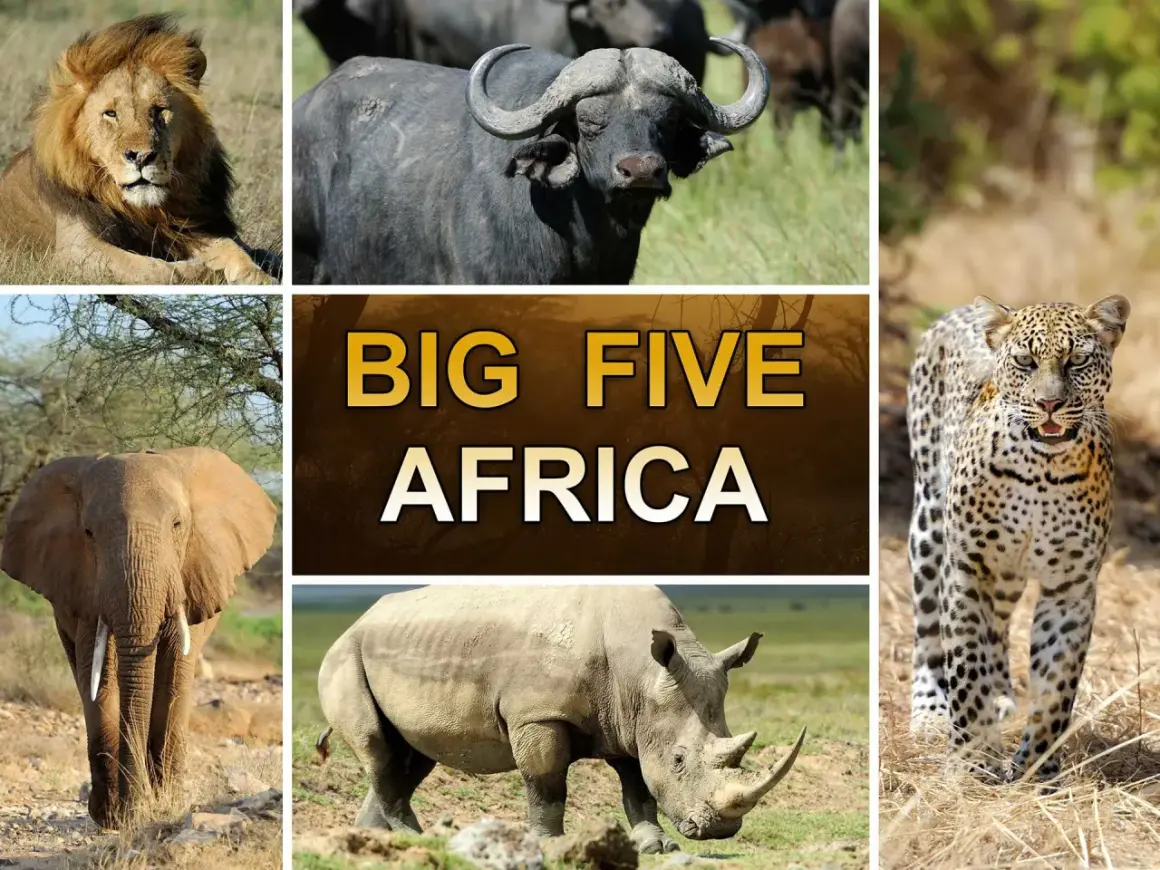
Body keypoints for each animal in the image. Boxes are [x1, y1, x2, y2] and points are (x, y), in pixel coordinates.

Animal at [0, 447, 277, 829]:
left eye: (177, 525)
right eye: (88, 532)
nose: (137, 808)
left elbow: (174, 670)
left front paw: (163, 804)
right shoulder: (86, 588)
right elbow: (98, 675)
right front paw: (115, 818)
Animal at [905, 294, 1130, 782]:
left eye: (1077, 360)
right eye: (1025, 361)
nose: (1049, 403)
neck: (1041, 471)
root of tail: (961, 308)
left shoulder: (1071, 588)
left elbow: (1056, 687)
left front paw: (1037, 772)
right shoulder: (968, 571)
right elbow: (965, 665)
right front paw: (971, 763)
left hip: (1006, 575)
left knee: (998, 628)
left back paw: (1002, 696)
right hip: (928, 527)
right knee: (930, 632)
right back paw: (930, 711)